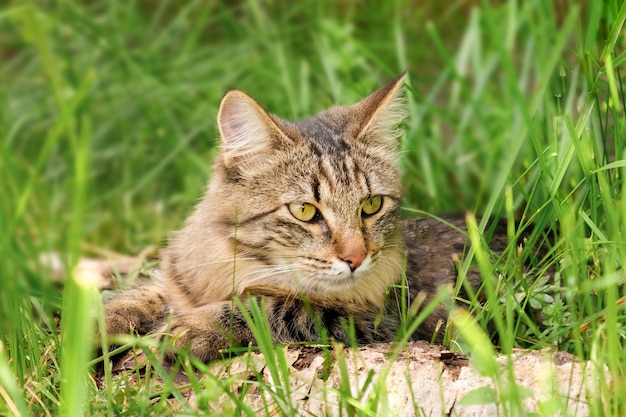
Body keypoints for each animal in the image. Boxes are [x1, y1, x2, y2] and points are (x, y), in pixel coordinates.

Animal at [102, 73, 502, 360]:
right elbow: (137, 294)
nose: (356, 258)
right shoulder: (175, 279)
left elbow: (276, 307)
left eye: (371, 205)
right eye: (304, 210)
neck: (239, 263)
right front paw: (99, 323)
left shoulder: (375, 320)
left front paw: (191, 329)